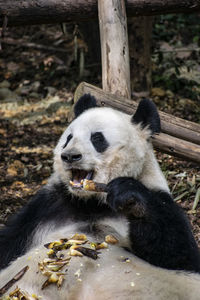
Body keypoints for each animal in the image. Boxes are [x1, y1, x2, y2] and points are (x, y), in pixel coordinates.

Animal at [0, 94, 200, 300]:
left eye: (97, 138)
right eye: (69, 138)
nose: (70, 156)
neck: (91, 202)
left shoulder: (159, 198)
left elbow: (179, 255)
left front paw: (128, 196)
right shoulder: (46, 207)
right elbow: (9, 243)